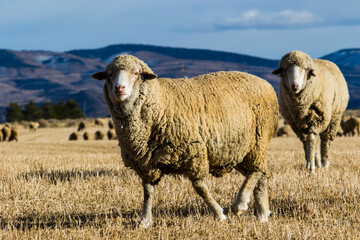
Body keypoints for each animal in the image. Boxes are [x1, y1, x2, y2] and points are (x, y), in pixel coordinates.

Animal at [92, 54, 278, 227]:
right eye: (109, 74)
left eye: (136, 73)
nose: (119, 88)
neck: (160, 102)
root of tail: (264, 82)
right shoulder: (145, 163)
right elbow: (148, 192)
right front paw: (145, 220)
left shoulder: (194, 152)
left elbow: (199, 187)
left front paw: (219, 214)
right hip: (238, 150)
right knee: (260, 175)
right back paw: (263, 214)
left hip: (259, 139)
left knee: (256, 171)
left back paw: (241, 203)